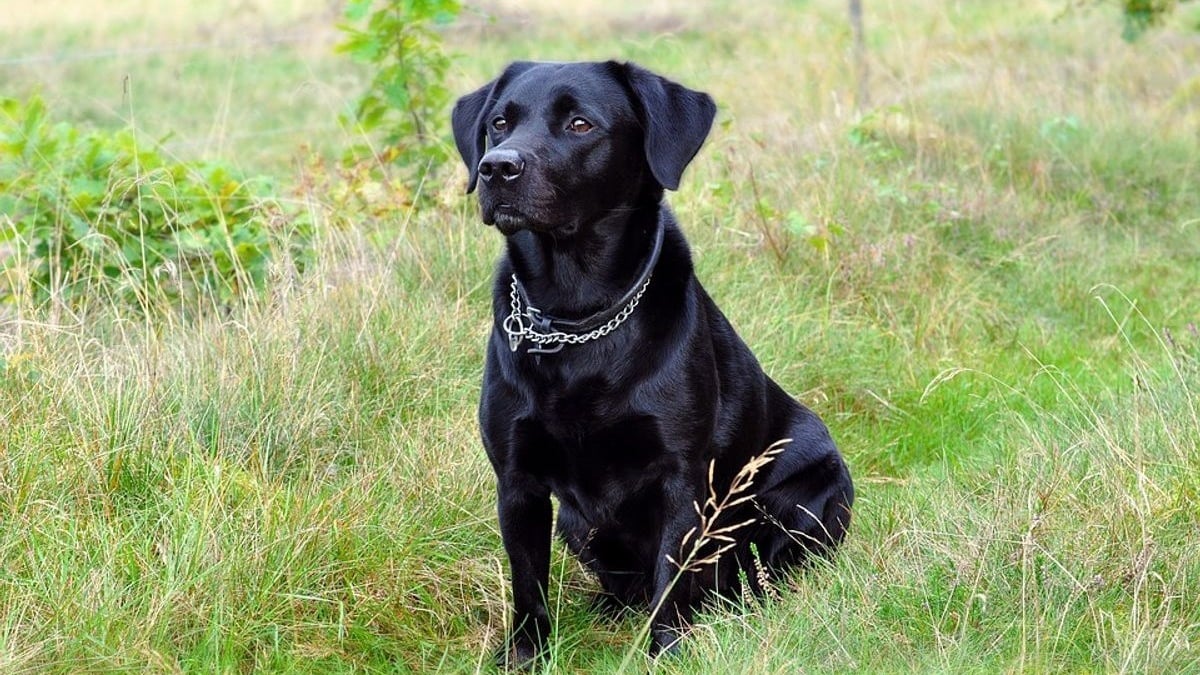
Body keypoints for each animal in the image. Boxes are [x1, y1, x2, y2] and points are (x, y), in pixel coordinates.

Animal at [451, 60, 854, 662]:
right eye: (500, 122)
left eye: (579, 123)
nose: (496, 167)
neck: (577, 317)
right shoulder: (517, 482)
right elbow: (528, 584)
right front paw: (526, 656)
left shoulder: (680, 477)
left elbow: (671, 581)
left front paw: (666, 651)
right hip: (576, 522)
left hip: (811, 497)